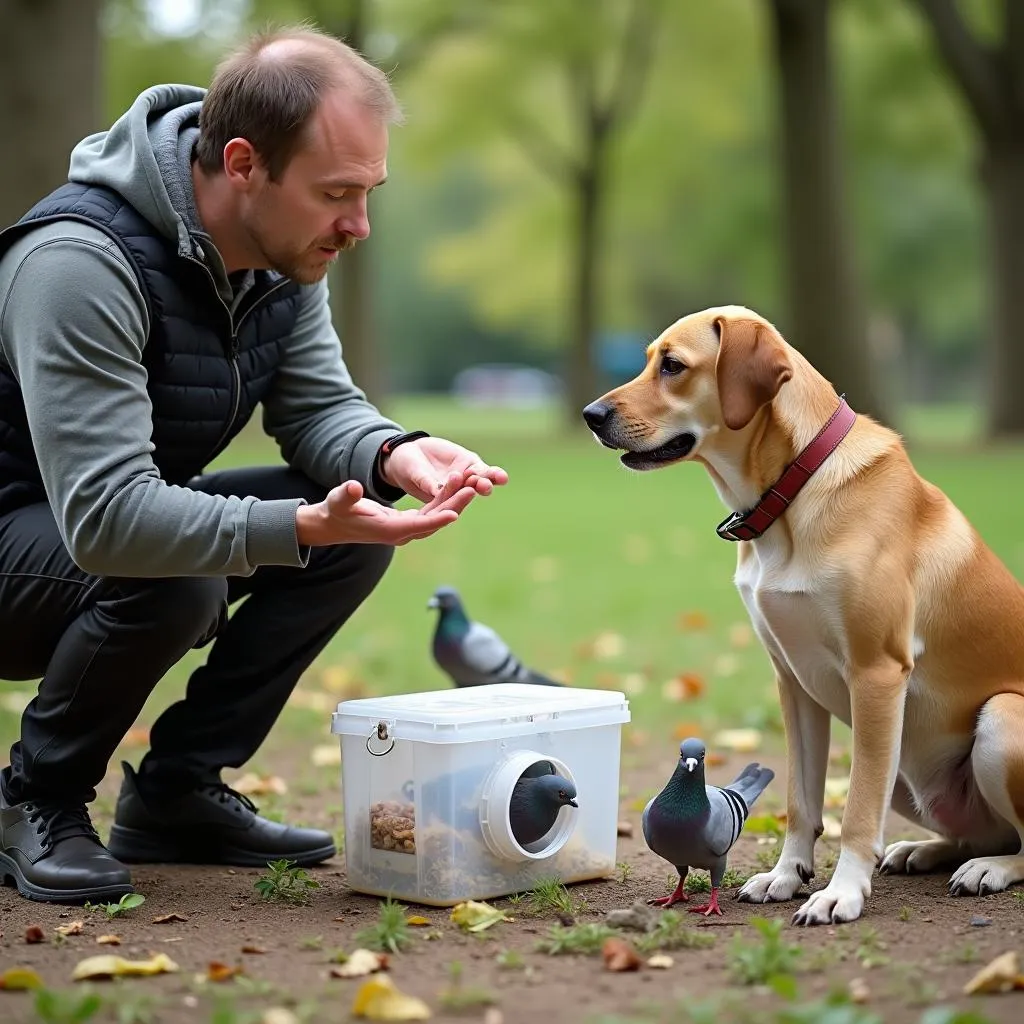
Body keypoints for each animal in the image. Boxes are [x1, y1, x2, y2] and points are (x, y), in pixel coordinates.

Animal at [585, 305, 1024, 929]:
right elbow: (801, 799)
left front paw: (842, 893)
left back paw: (991, 869)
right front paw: (787, 875)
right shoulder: (795, 681)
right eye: (649, 360)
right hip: (902, 763)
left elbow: (857, 810)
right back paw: (925, 850)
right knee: (980, 834)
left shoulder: (876, 676)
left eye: (673, 366)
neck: (794, 487)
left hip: (993, 720)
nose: (591, 415)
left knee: (1015, 842)